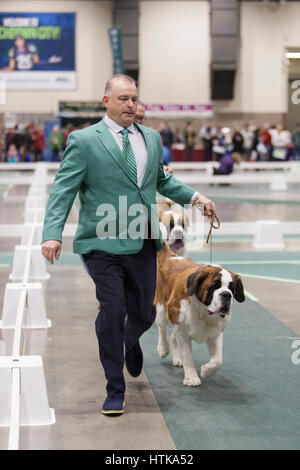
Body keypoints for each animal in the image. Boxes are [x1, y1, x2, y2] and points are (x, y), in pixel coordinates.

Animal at [154, 242, 245, 386]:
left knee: (173, 336)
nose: (226, 294)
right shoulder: (183, 332)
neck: (204, 311)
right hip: (162, 308)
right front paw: (191, 377)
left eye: (232, 288)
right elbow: (188, 356)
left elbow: (218, 360)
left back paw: (177, 357)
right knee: (162, 328)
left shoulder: (216, 333)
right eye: (214, 286)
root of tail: (171, 256)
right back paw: (163, 349)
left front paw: (206, 370)